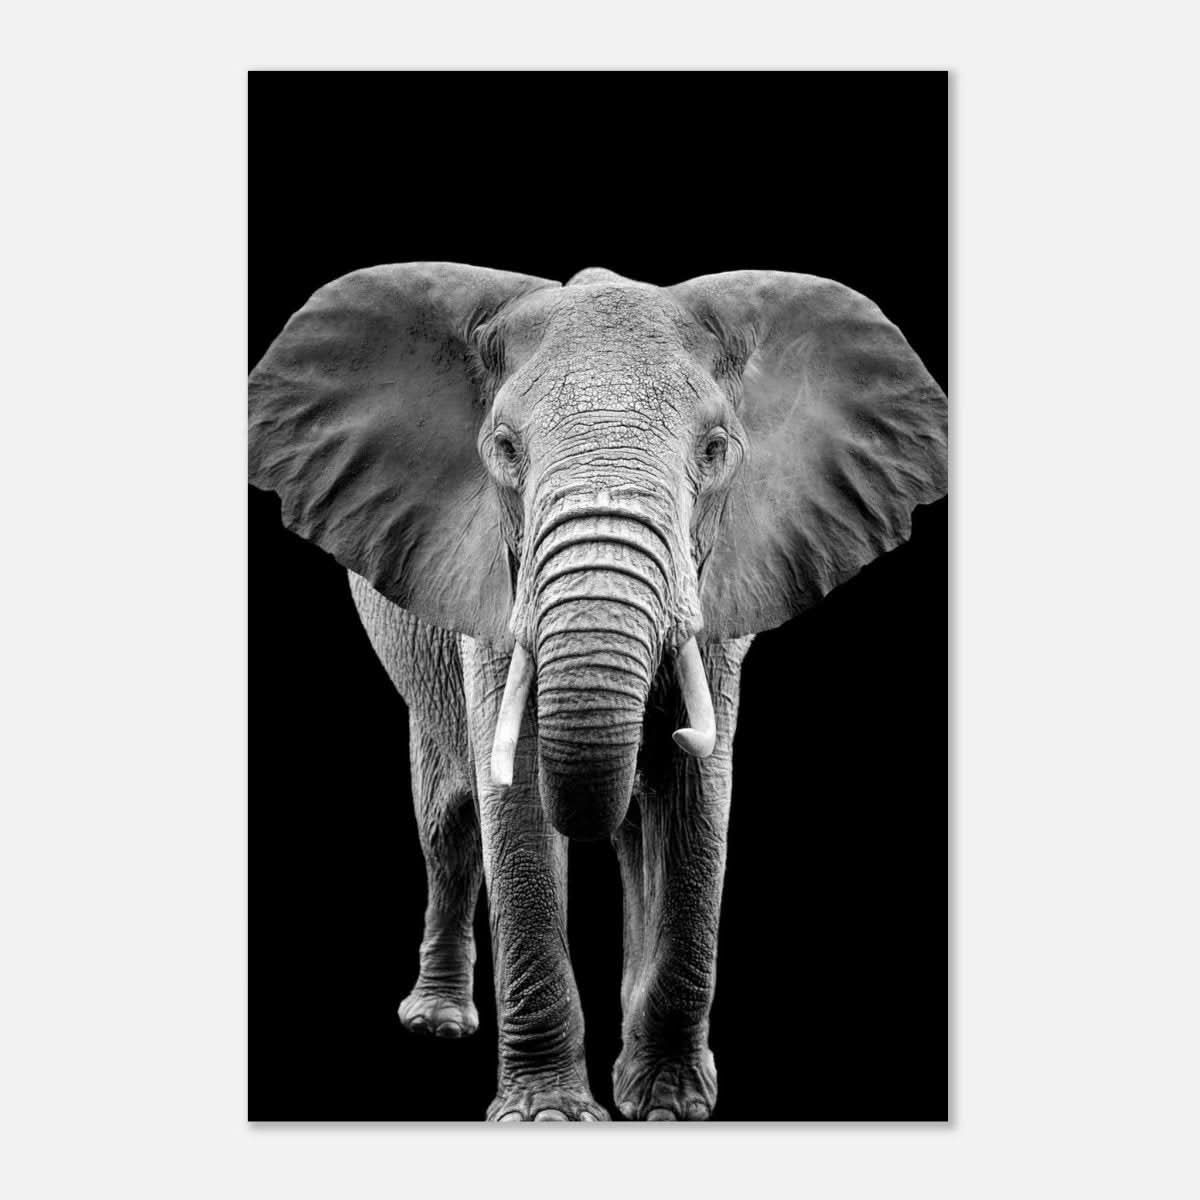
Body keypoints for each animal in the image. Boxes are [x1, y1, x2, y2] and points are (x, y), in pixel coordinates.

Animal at [248, 263, 948, 1121]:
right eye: (504, 448)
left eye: (715, 449)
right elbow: (513, 801)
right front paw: (548, 1115)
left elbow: (695, 800)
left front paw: (669, 1107)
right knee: (447, 821)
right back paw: (438, 1023)